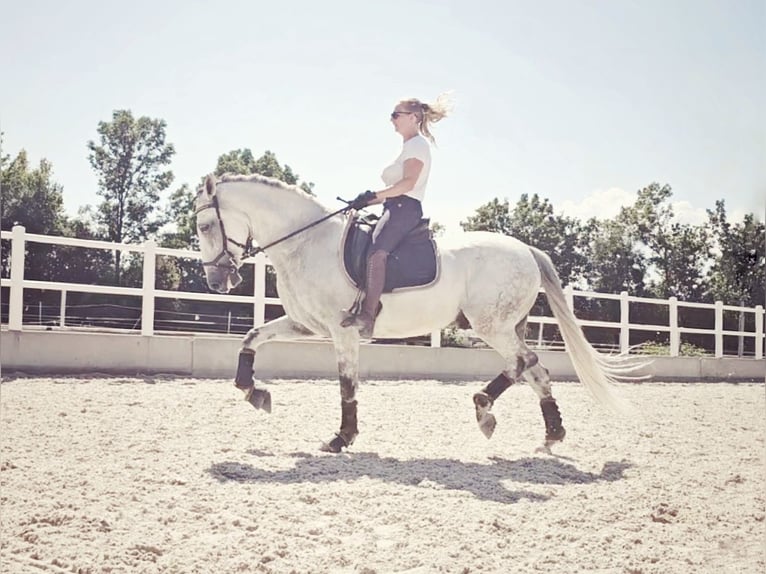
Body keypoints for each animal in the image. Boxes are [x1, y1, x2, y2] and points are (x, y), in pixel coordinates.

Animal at [194, 172, 636, 454]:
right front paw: (254, 392)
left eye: (203, 226)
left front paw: (341, 438)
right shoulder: (306, 325)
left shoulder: (342, 331)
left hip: (492, 326)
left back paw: (484, 406)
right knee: (535, 371)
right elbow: (251, 337)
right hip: (504, 326)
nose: (217, 281)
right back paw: (550, 434)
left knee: (525, 363)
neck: (307, 242)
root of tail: (525, 249)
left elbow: (347, 386)